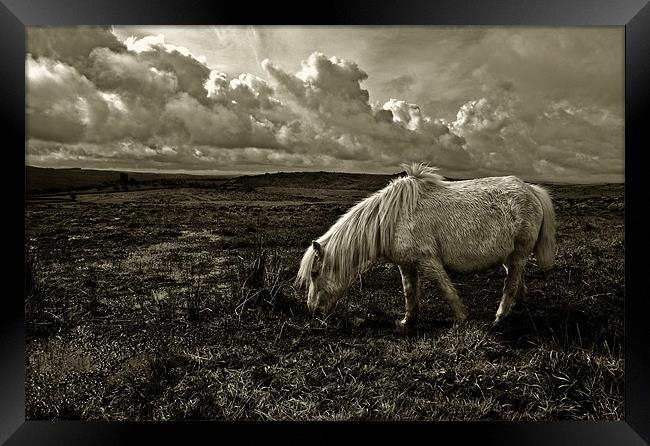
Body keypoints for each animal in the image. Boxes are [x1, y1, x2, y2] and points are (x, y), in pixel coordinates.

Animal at [296, 162, 556, 326]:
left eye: (315, 273)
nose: (313, 311)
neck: (392, 219)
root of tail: (531, 189)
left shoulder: (428, 261)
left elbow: (445, 289)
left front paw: (461, 318)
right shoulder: (406, 265)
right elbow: (409, 292)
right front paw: (407, 321)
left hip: (519, 253)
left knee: (510, 283)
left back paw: (501, 315)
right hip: (509, 256)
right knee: (516, 278)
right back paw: (518, 307)